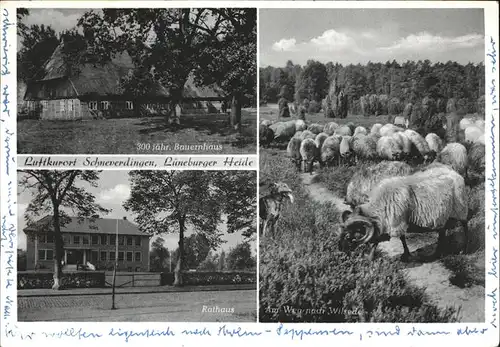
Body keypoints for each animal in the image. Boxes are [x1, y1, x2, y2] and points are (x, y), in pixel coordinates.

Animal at [340, 165, 468, 260]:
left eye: (347, 236)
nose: (340, 252)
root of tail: (455, 173)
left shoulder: (397, 221)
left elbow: (383, 240)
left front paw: (370, 257)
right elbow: (400, 238)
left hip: (460, 208)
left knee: (465, 225)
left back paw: (464, 249)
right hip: (443, 214)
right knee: (442, 231)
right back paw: (436, 253)